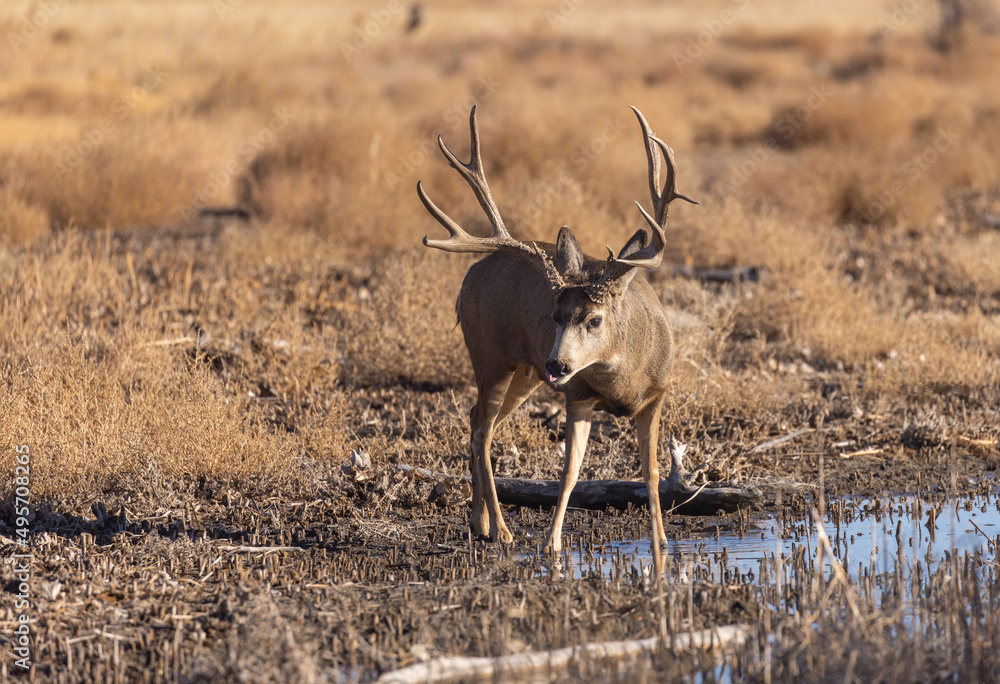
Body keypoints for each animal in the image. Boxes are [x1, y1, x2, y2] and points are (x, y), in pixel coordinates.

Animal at [417, 106, 698, 566]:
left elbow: (653, 472)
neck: (622, 381)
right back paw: (503, 530)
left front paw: (661, 545)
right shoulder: (577, 396)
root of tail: (467, 279)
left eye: (595, 319)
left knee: (477, 420)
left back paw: (480, 524)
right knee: (482, 429)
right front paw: (552, 544)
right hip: (491, 357)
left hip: (525, 374)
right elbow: (569, 472)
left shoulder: (657, 395)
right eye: (554, 314)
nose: (558, 363)